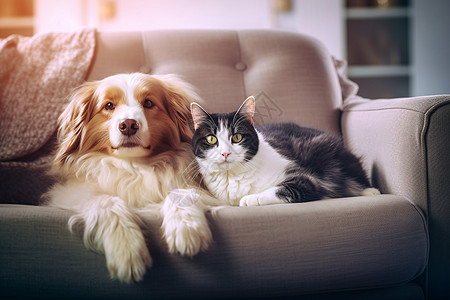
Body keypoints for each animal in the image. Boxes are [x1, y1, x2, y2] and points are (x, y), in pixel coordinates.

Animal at [45, 73, 213, 284]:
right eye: (109, 106)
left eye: (148, 103)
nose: (128, 125)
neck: (134, 166)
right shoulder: (67, 193)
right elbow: (105, 201)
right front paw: (126, 248)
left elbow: (180, 191)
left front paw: (186, 227)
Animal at [190, 96, 380, 206]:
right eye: (211, 139)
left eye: (236, 137)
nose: (225, 153)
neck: (233, 176)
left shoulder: (306, 178)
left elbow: (281, 189)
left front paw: (250, 198)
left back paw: (370, 191)